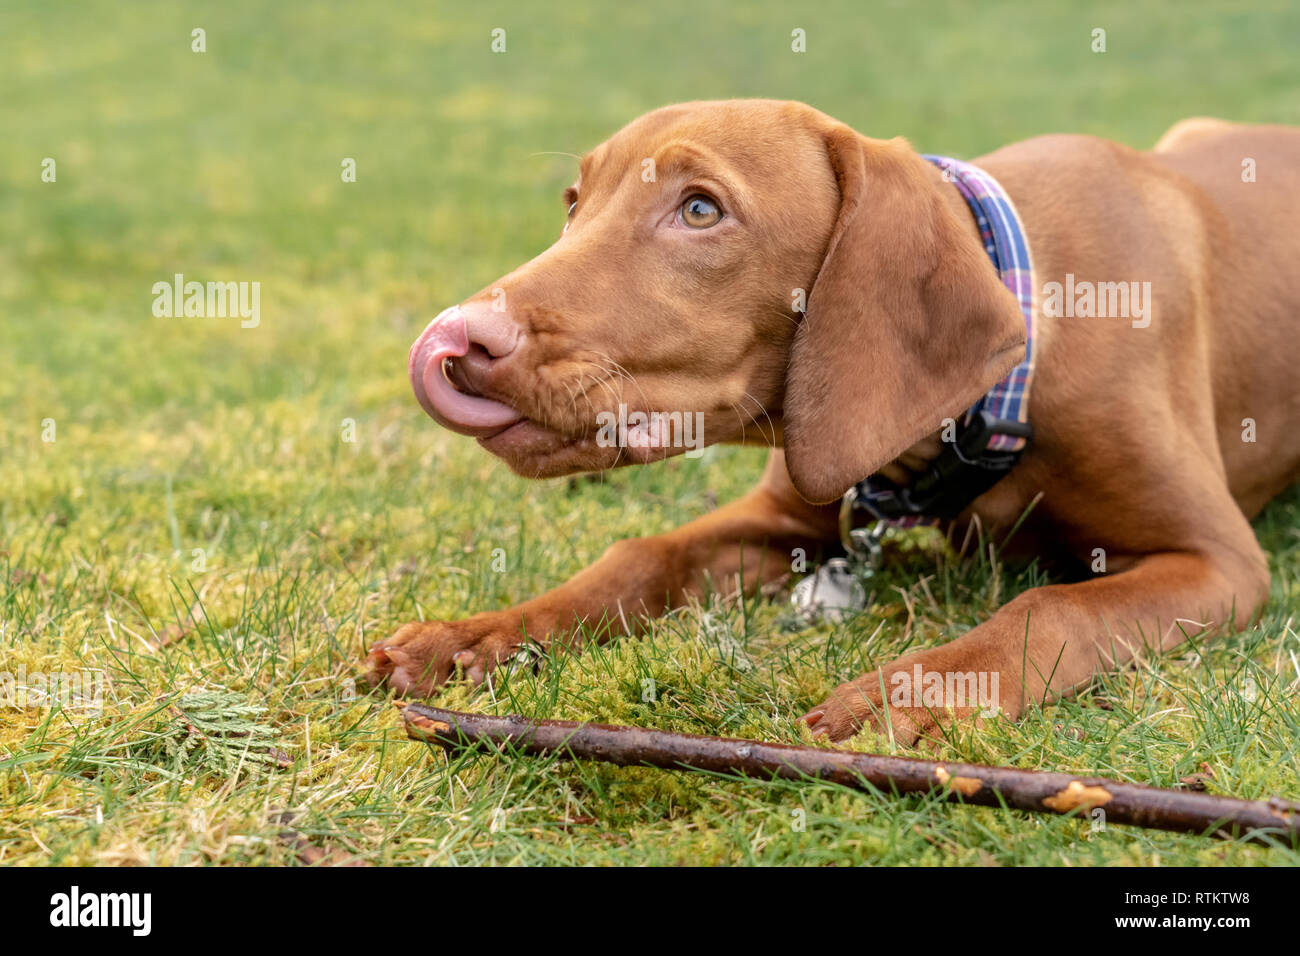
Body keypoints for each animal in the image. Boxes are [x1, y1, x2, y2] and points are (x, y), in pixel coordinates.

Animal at [366, 102, 1300, 749]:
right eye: (573, 202)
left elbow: (1051, 607)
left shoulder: (1216, 561)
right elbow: (639, 555)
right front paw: (475, 635)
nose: (462, 337)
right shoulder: (786, 512)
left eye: (699, 210)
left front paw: (917, 691)